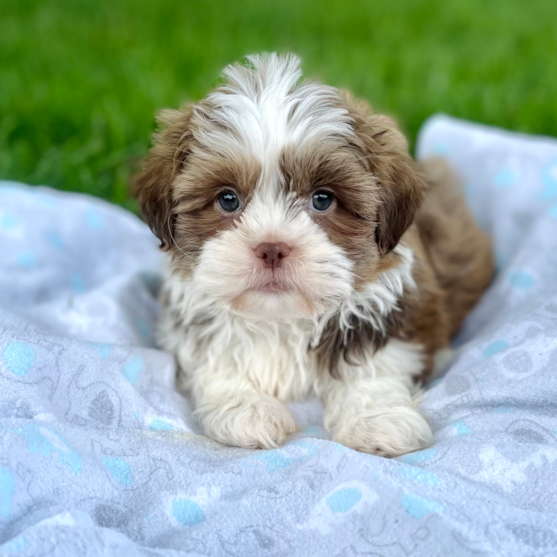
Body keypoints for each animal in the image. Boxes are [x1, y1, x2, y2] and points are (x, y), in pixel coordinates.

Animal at [137, 54, 494, 456]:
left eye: (322, 199)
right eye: (228, 199)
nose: (272, 247)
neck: (282, 320)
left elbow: (376, 362)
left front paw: (377, 419)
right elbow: (214, 357)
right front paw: (246, 408)